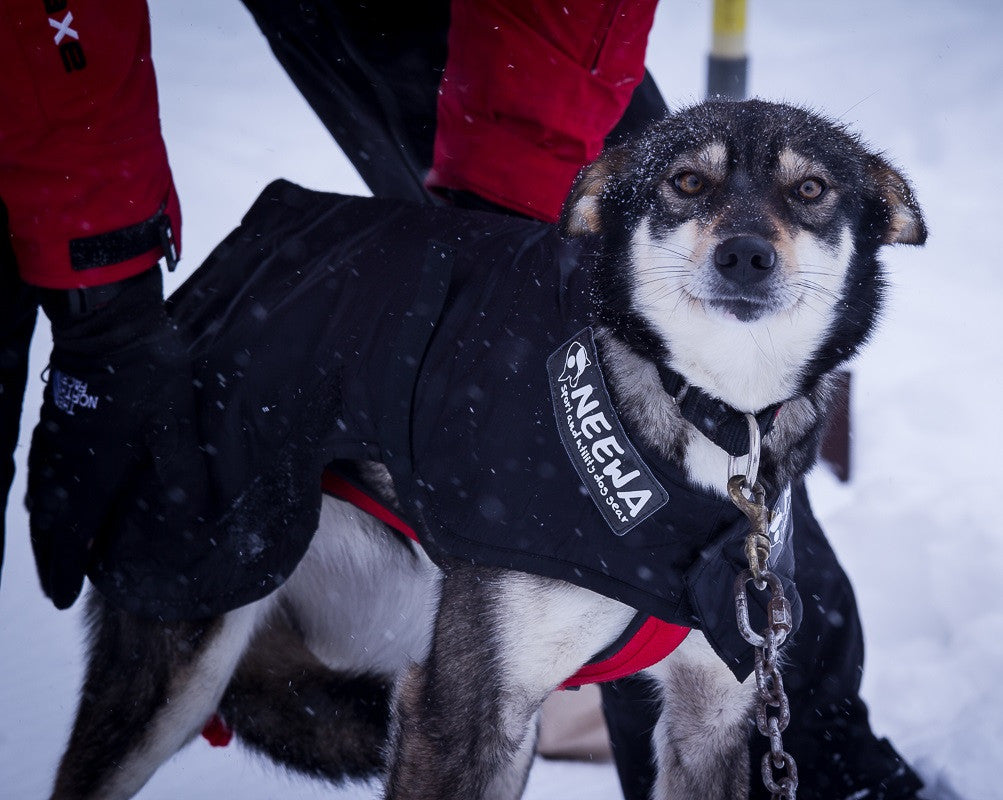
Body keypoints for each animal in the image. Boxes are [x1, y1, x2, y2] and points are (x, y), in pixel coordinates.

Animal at [47, 100, 922, 800]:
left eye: (809, 191)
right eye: (685, 182)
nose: (744, 254)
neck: (705, 410)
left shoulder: (711, 717)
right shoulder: (465, 707)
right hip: (187, 624)